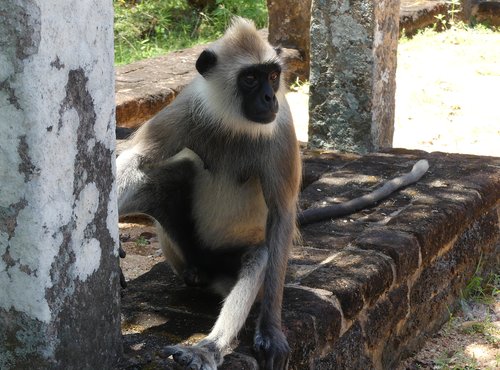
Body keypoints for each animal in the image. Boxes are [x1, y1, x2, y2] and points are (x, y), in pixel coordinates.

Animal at [116, 16, 430, 370]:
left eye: (273, 76)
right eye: (250, 78)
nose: (269, 98)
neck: (234, 122)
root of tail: (203, 267)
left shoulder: (281, 126)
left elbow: (281, 214)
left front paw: (270, 331)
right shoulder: (186, 107)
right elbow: (134, 158)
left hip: (228, 265)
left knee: (261, 255)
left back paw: (208, 348)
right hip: (182, 250)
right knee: (156, 179)